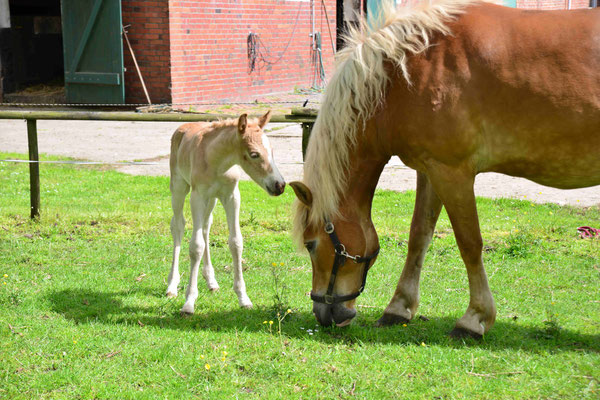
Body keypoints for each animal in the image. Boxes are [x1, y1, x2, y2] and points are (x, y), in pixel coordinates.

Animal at [165, 111, 284, 314]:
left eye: (272, 151)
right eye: (254, 154)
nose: (280, 185)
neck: (217, 162)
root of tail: (182, 127)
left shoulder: (232, 196)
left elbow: (235, 242)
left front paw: (243, 298)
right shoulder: (197, 196)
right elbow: (196, 246)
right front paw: (189, 302)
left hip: (211, 199)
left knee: (206, 227)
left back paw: (211, 281)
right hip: (179, 187)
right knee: (178, 226)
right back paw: (172, 286)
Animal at [288, 0, 596, 338]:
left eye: (310, 244)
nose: (324, 313)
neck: (406, 70)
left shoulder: (452, 172)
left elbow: (469, 242)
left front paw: (474, 318)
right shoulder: (430, 170)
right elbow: (419, 236)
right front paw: (399, 307)